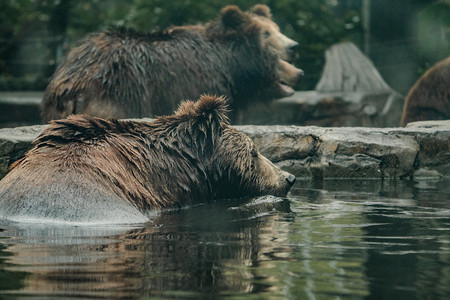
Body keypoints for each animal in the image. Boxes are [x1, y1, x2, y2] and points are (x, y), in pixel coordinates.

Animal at [41, 4, 302, 123]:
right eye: (267, 34)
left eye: (277, 28)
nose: (298, 71)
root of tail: (70, 87)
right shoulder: (205, 83)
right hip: (116, 98)